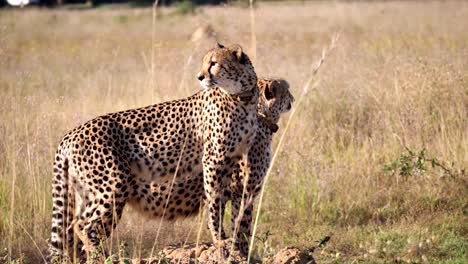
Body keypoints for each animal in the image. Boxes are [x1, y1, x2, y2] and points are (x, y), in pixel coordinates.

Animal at [49, 43, 258, 262]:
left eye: (214, 63)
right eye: (205, 62)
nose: (199, 77)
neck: (242, 97)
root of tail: (71, 133)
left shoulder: (232, 161)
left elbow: (229, 205)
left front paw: (229, 241)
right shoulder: (213, 160)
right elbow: (214, 202)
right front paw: (220, 241)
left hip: (86, 191)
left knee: (71, 228)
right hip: (112, 186)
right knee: (83, 225)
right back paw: (104, 257)